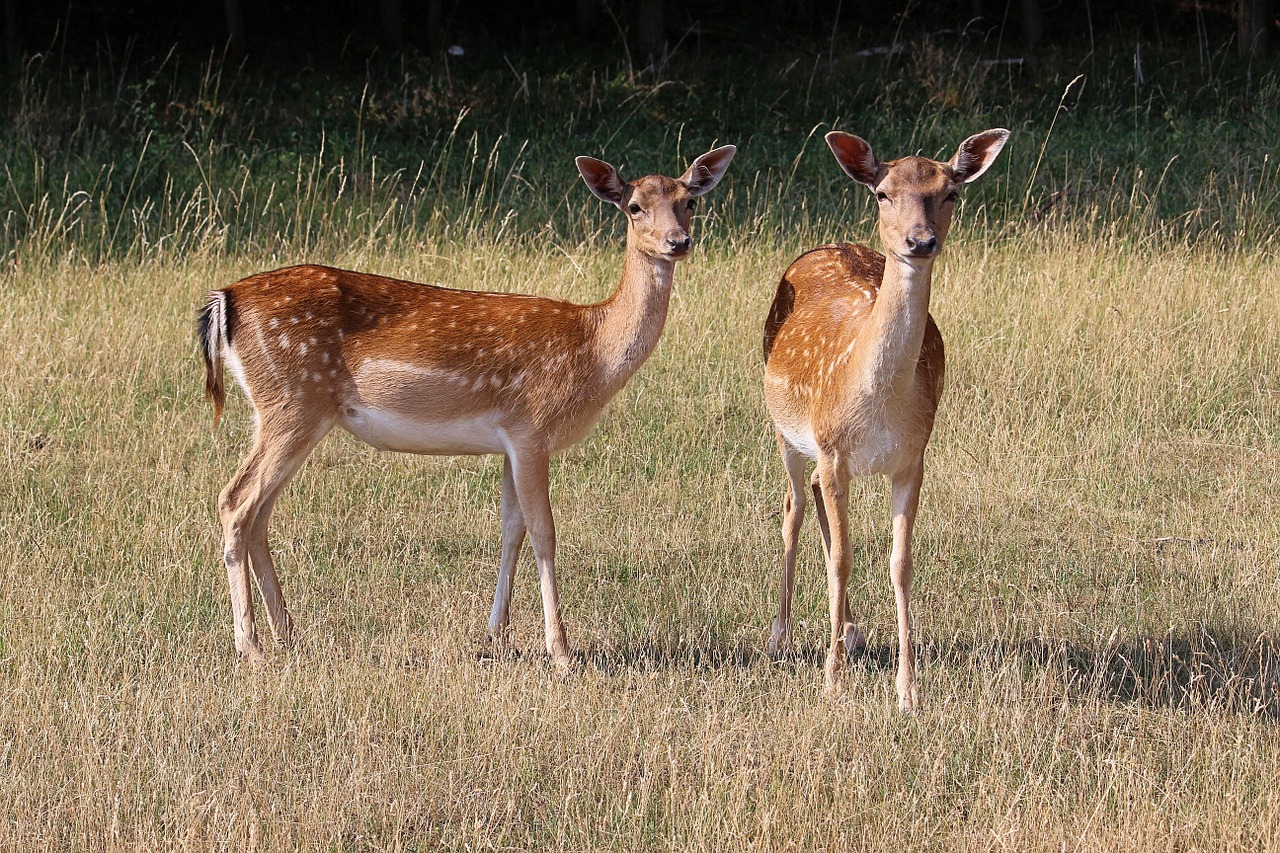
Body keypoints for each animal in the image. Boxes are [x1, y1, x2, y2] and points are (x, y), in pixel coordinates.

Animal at [199, 144, 742, 666]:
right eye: (633, 207)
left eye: (689, 201)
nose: (678, 241)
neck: (592, 350)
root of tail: (224, 300)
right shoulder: (532, 427)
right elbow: (544, 533)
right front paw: (561, 652)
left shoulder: (510, 442)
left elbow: (511, 530)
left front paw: (496, 638)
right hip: (291, 402)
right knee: (235, 501)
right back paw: (250, 645)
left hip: (289, 411)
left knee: (260, 512)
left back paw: (289, 637)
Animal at [757, 128, 1008, 712]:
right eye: (883, 193)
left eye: (950, 193)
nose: (920, 241)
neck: (878, 403)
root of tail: (826, 246)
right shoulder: (832, 448)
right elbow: (843, 560)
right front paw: (831, 682)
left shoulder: (913, 457)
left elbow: (900, 563)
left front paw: (908, 691)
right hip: (787, 431)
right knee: (794, 506)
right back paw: (782, 634)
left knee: (816, 503)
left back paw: (850, 630)